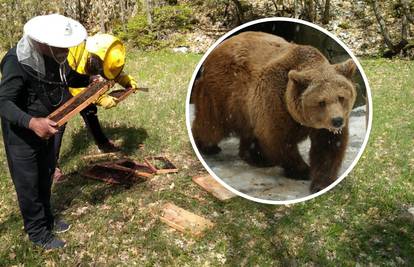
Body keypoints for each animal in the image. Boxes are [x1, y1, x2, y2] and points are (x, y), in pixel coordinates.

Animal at [192, 31, 358, 194]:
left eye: (341, 97)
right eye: (321, 102)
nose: (337, 121)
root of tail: (213, 52)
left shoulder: (327, 123)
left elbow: (328, 146)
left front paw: (322, 184)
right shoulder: (275, 99)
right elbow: (278, 139)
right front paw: (302, 170)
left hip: (245, 107)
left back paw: (256, 157)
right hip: (224, 93)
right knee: (211, 126)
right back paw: (207, 146)